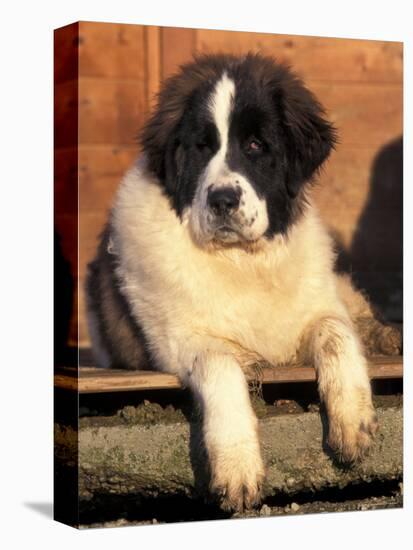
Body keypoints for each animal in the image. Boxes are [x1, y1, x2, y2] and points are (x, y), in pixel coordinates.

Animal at [86, 54, 376, 516]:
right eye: (202, 147)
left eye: (256, 145)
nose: (222, 199)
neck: (242, 261)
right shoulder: (178, 340)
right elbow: (221, 364)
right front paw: (237, 466)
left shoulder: (313, 312)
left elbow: (336, 333)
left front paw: (353, 421)